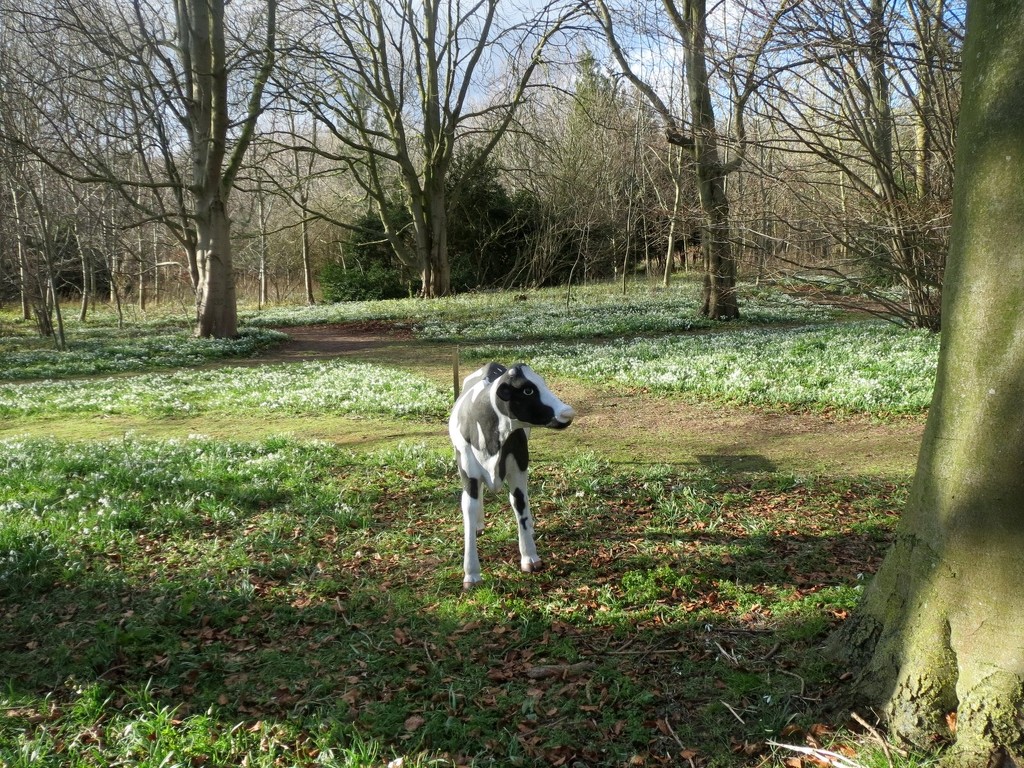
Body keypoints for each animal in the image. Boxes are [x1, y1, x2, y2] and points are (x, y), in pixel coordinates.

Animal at [448, 362, 577, 589]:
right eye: (527, 390)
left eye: (543, 383)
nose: (567, 412)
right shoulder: (468, 472)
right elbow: (469, 508)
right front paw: (471, 574)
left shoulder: (518, 467)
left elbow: (520, 503)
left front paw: (530, 558)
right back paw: (479, 525)